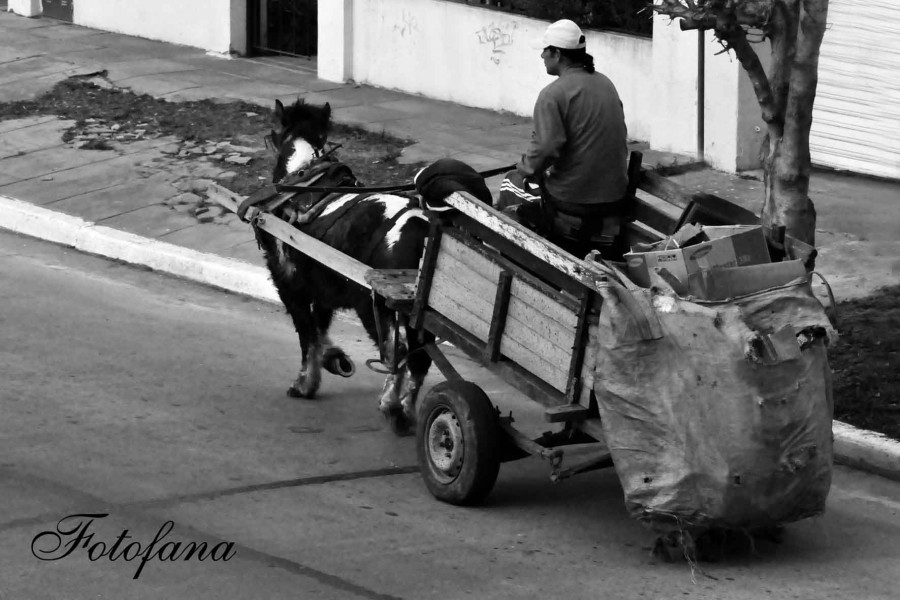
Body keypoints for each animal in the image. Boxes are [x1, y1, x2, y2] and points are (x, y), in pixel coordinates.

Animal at [248, 99, 434, 436]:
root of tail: (419, 229)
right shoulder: (324, 292)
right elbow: (319, 330)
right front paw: (334, 359)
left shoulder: (289, 287)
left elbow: (307, 334)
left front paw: (305, 384)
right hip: (417, 317)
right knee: (418, 359)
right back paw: (407, 413)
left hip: (376, 308)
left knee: (398, 353)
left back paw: (392, 407)